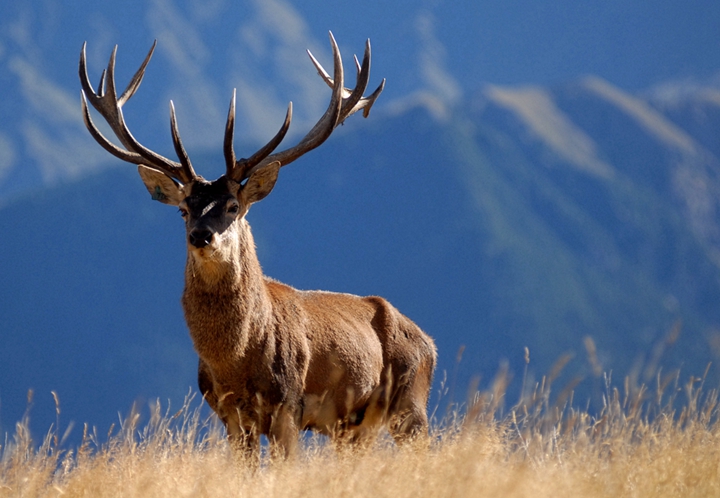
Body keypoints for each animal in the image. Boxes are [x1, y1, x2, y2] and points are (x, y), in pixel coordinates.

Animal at [79, 32, 438, 460]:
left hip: (411, 402)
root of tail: (430, 342)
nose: (201, 235)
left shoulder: (289, 404)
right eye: (183, 209)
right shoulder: (229, 415)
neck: (236, 364)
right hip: (353, 428)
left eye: (233, 206)